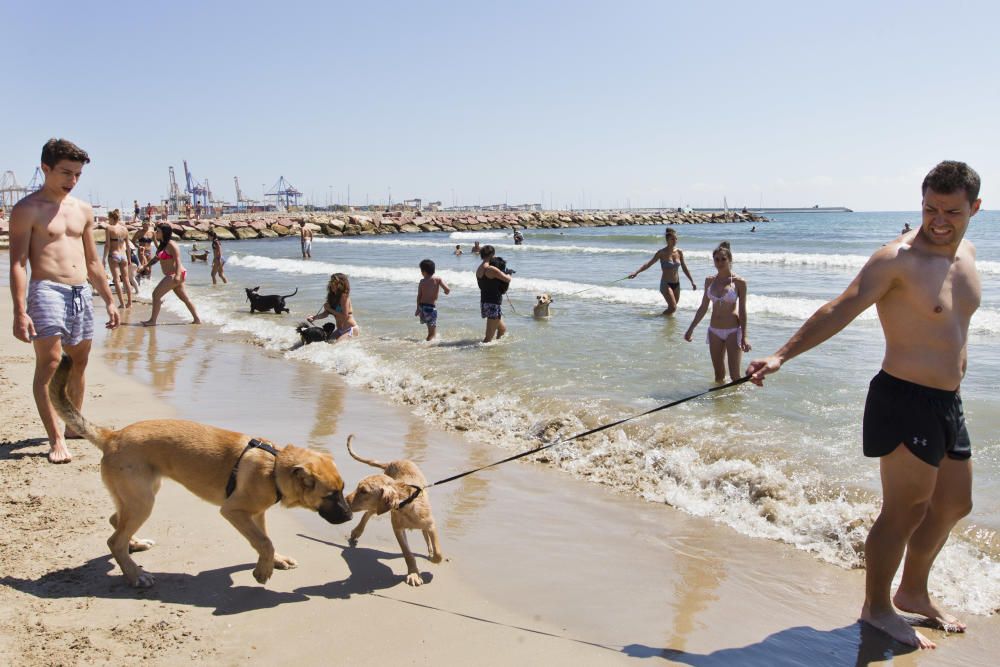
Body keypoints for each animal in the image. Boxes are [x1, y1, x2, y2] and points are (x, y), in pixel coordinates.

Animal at [51, 354, 356, 588]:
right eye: (330, 495)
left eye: (343, 490)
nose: (351, 516)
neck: (274, 467)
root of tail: (112, 436)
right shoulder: (233, 511)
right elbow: (264, 542)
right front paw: (263, 571)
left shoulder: (256, 514)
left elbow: (264, 540)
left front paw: (275, 561)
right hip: (142, 501)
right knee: (114, 540)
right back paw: (136, 575)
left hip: (137, 496)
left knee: (116, 522)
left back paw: (133, 546)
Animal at [346, 436, 444, 588]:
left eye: (363, 491)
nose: (345, 499)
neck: (406, 504)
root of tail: (392, 462)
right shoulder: (398, 529)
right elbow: (407, 553)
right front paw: (413, 574)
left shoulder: (431, 524)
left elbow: (438, 552)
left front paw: (433, 558)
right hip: (378, 507)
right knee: (368, 513)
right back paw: (357, 531)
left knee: (425, 534)